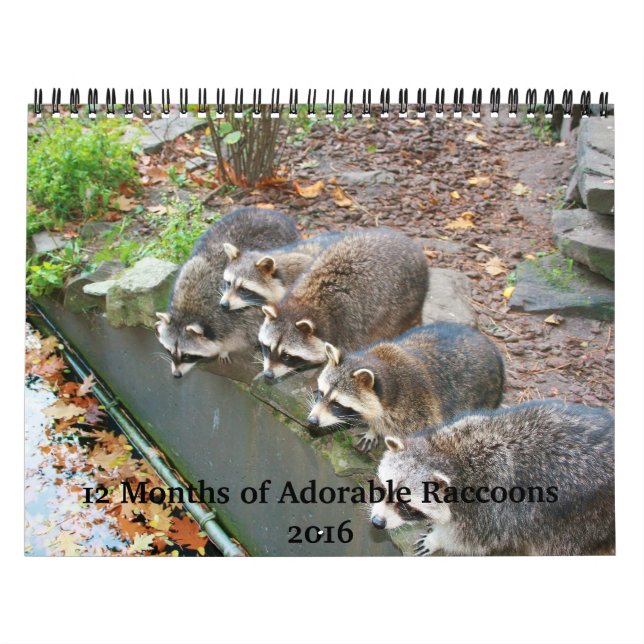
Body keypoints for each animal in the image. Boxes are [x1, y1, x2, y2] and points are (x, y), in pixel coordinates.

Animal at [155, 207, 298, 377]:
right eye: (169, 351)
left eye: (187, 355)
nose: (176, 375)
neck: (188, 312)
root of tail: (268, 211)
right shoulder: (187, 275)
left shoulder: (240, 317)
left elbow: (243, 333)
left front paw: (225, 349)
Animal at [258, 228, 428, 381]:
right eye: (267, 347)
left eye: (287, 356)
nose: (268, 375)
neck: (306, 305)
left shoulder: (349, 326)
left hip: (404, 300)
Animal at [308, 323, 505, 452]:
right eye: (321, 393)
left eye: (337, 404)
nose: (312, 421)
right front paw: (373, 430)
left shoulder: (419, 412)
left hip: (485, 396)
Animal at [371, 400, 615, 556]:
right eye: (384, 487)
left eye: (406, 505)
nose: (377, 522)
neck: (446, 455)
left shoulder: (490, 504)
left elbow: (470, 540)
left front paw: (437, 539)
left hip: (582, 515)